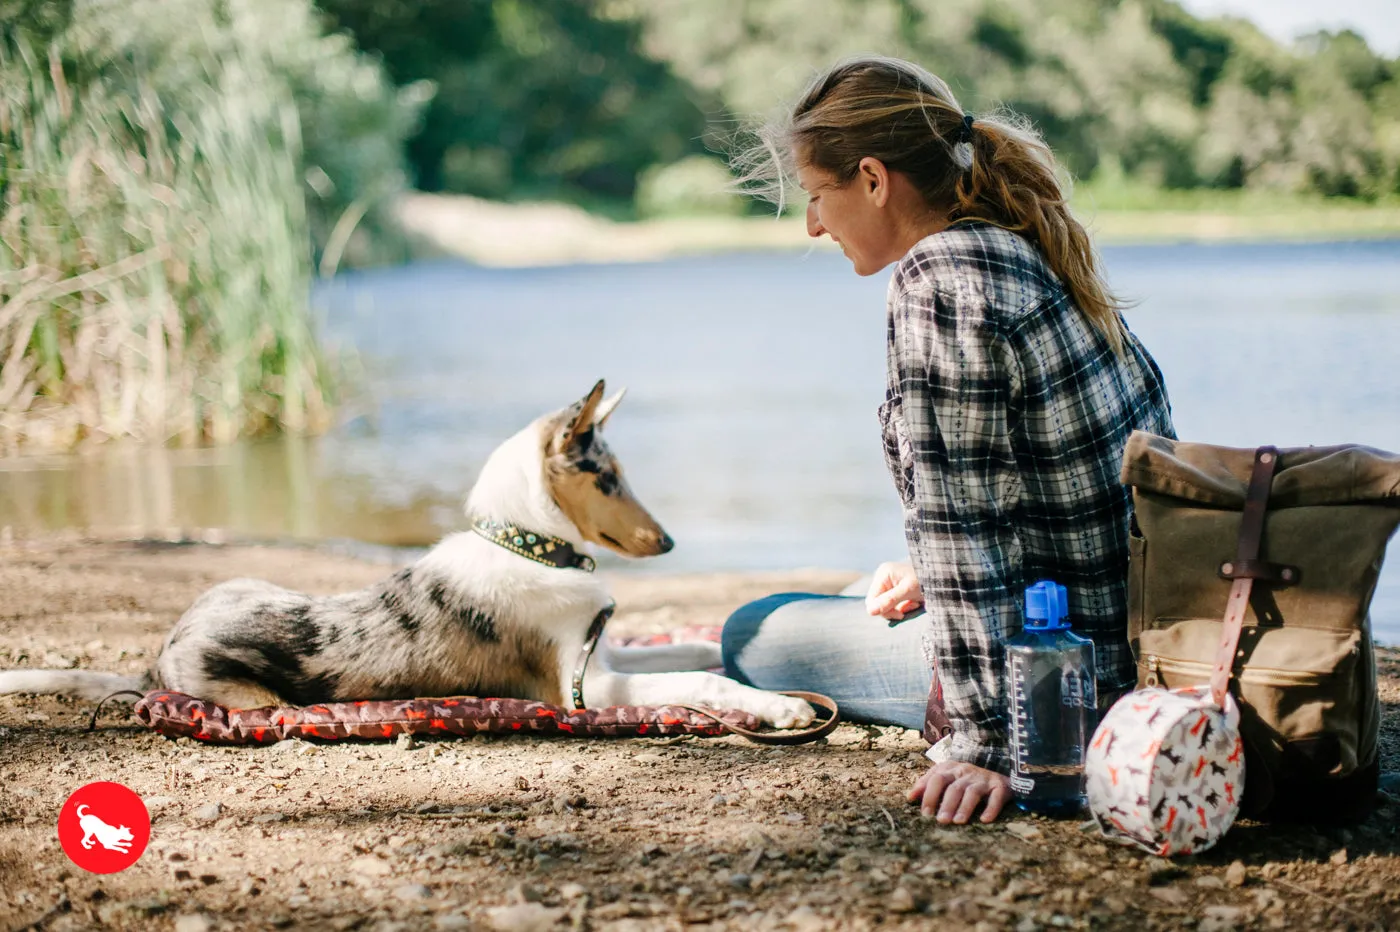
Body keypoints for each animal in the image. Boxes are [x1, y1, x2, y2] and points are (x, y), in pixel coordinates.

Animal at [0, 380, 817, 727]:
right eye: (609, 477)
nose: (670, 542)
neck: (529, 548)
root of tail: (157, 656)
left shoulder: (607, 655)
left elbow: (692, 650)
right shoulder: (585, 690)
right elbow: (698, 682)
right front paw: (779, 707)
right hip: (256, 700)